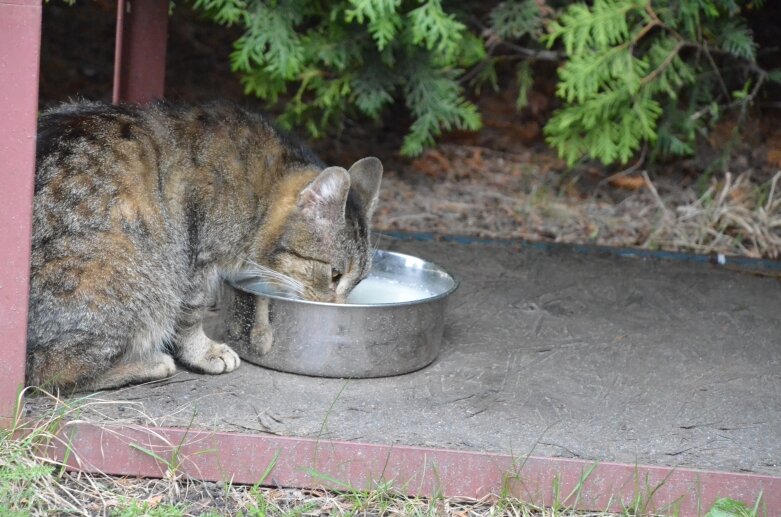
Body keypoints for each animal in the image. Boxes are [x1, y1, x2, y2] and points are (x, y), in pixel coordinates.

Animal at [23, 101, 378, 392]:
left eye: (358, 281)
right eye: (334, 274)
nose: (338, 306)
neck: (260, 189)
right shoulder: (197, 261)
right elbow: (191, 316)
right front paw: (204, 352)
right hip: (138, 278)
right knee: (52, 374)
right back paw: (147, 363)